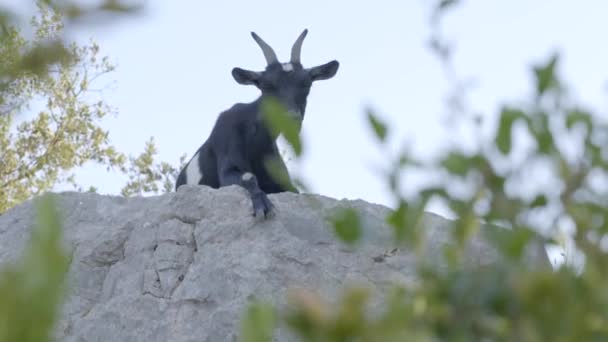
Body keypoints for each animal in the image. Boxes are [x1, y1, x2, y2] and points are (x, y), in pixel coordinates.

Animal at [173, 28, 340, 218]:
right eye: (266, 85)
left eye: (306, 83)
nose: (290, 117)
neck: (255, 141)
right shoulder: (227, 150)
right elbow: (248, 177)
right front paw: (262, 204)